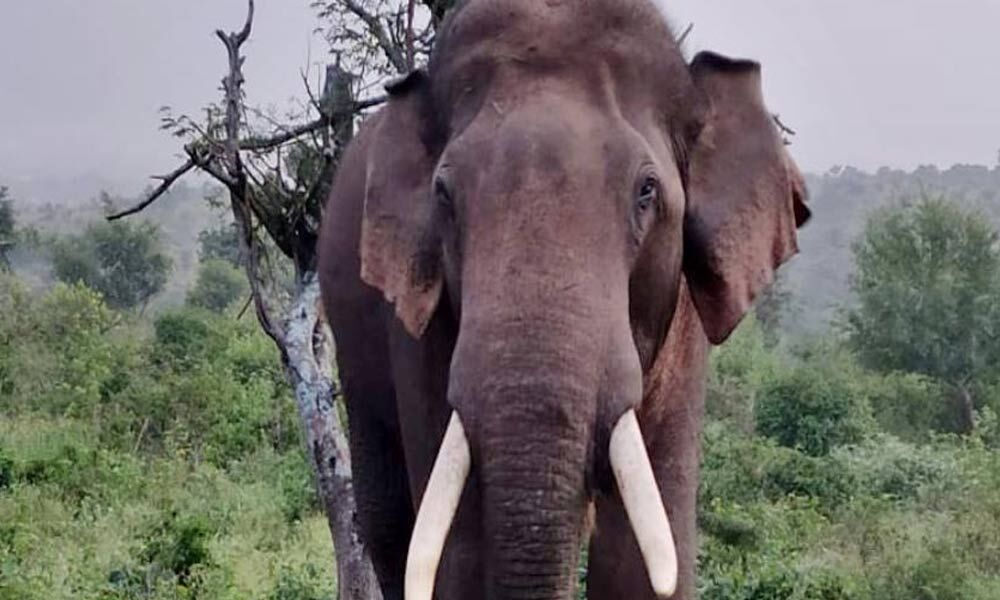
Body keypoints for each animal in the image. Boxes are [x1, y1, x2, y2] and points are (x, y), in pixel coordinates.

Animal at [316, 1, 808, 600]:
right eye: (444, 195)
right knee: (389, 526)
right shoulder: (418, 321)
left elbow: (642, 555)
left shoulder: (684, 329)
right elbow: (458, 550)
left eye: (646, 191)